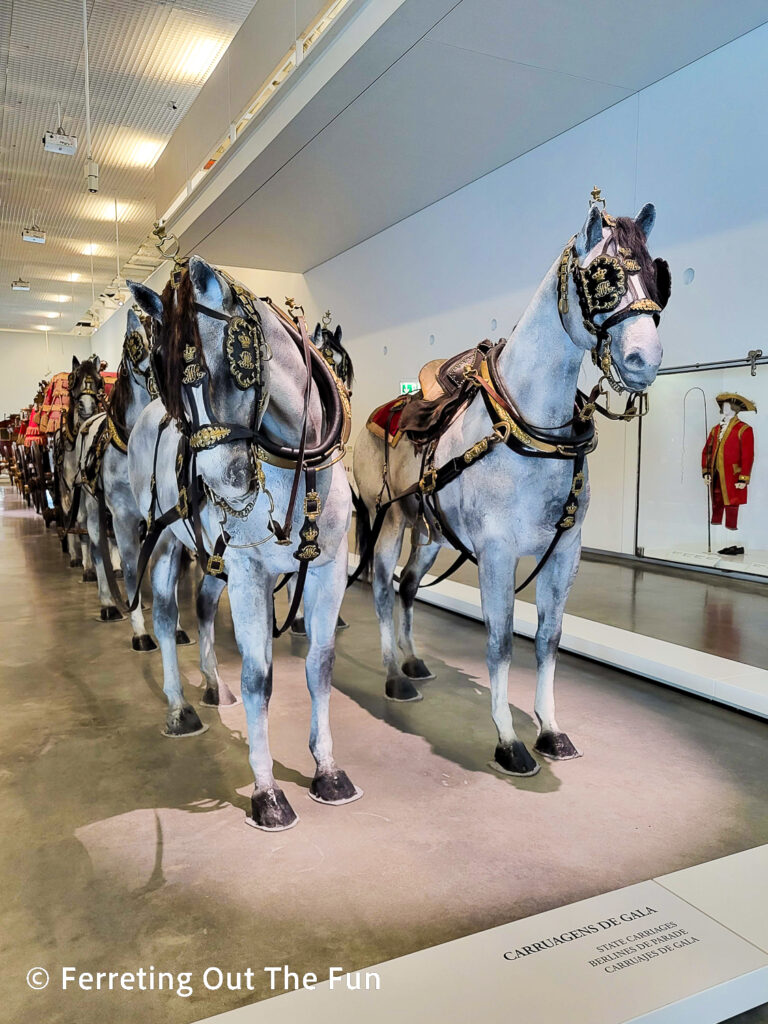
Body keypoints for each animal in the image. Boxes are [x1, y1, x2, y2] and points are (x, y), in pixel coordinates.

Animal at [129, 260, 360, 827]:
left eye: (237, 367)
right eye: (169, 379)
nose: (223, 482)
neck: (294, 463)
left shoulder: (327, 570)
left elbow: (320, 665)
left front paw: (327, 770)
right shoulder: (251, 575)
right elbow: (260, 678)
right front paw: (267, 791)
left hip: (216, 560)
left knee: (204, 608)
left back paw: (214, 685)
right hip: (164, 540)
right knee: (166, 616)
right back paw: (180, 707)